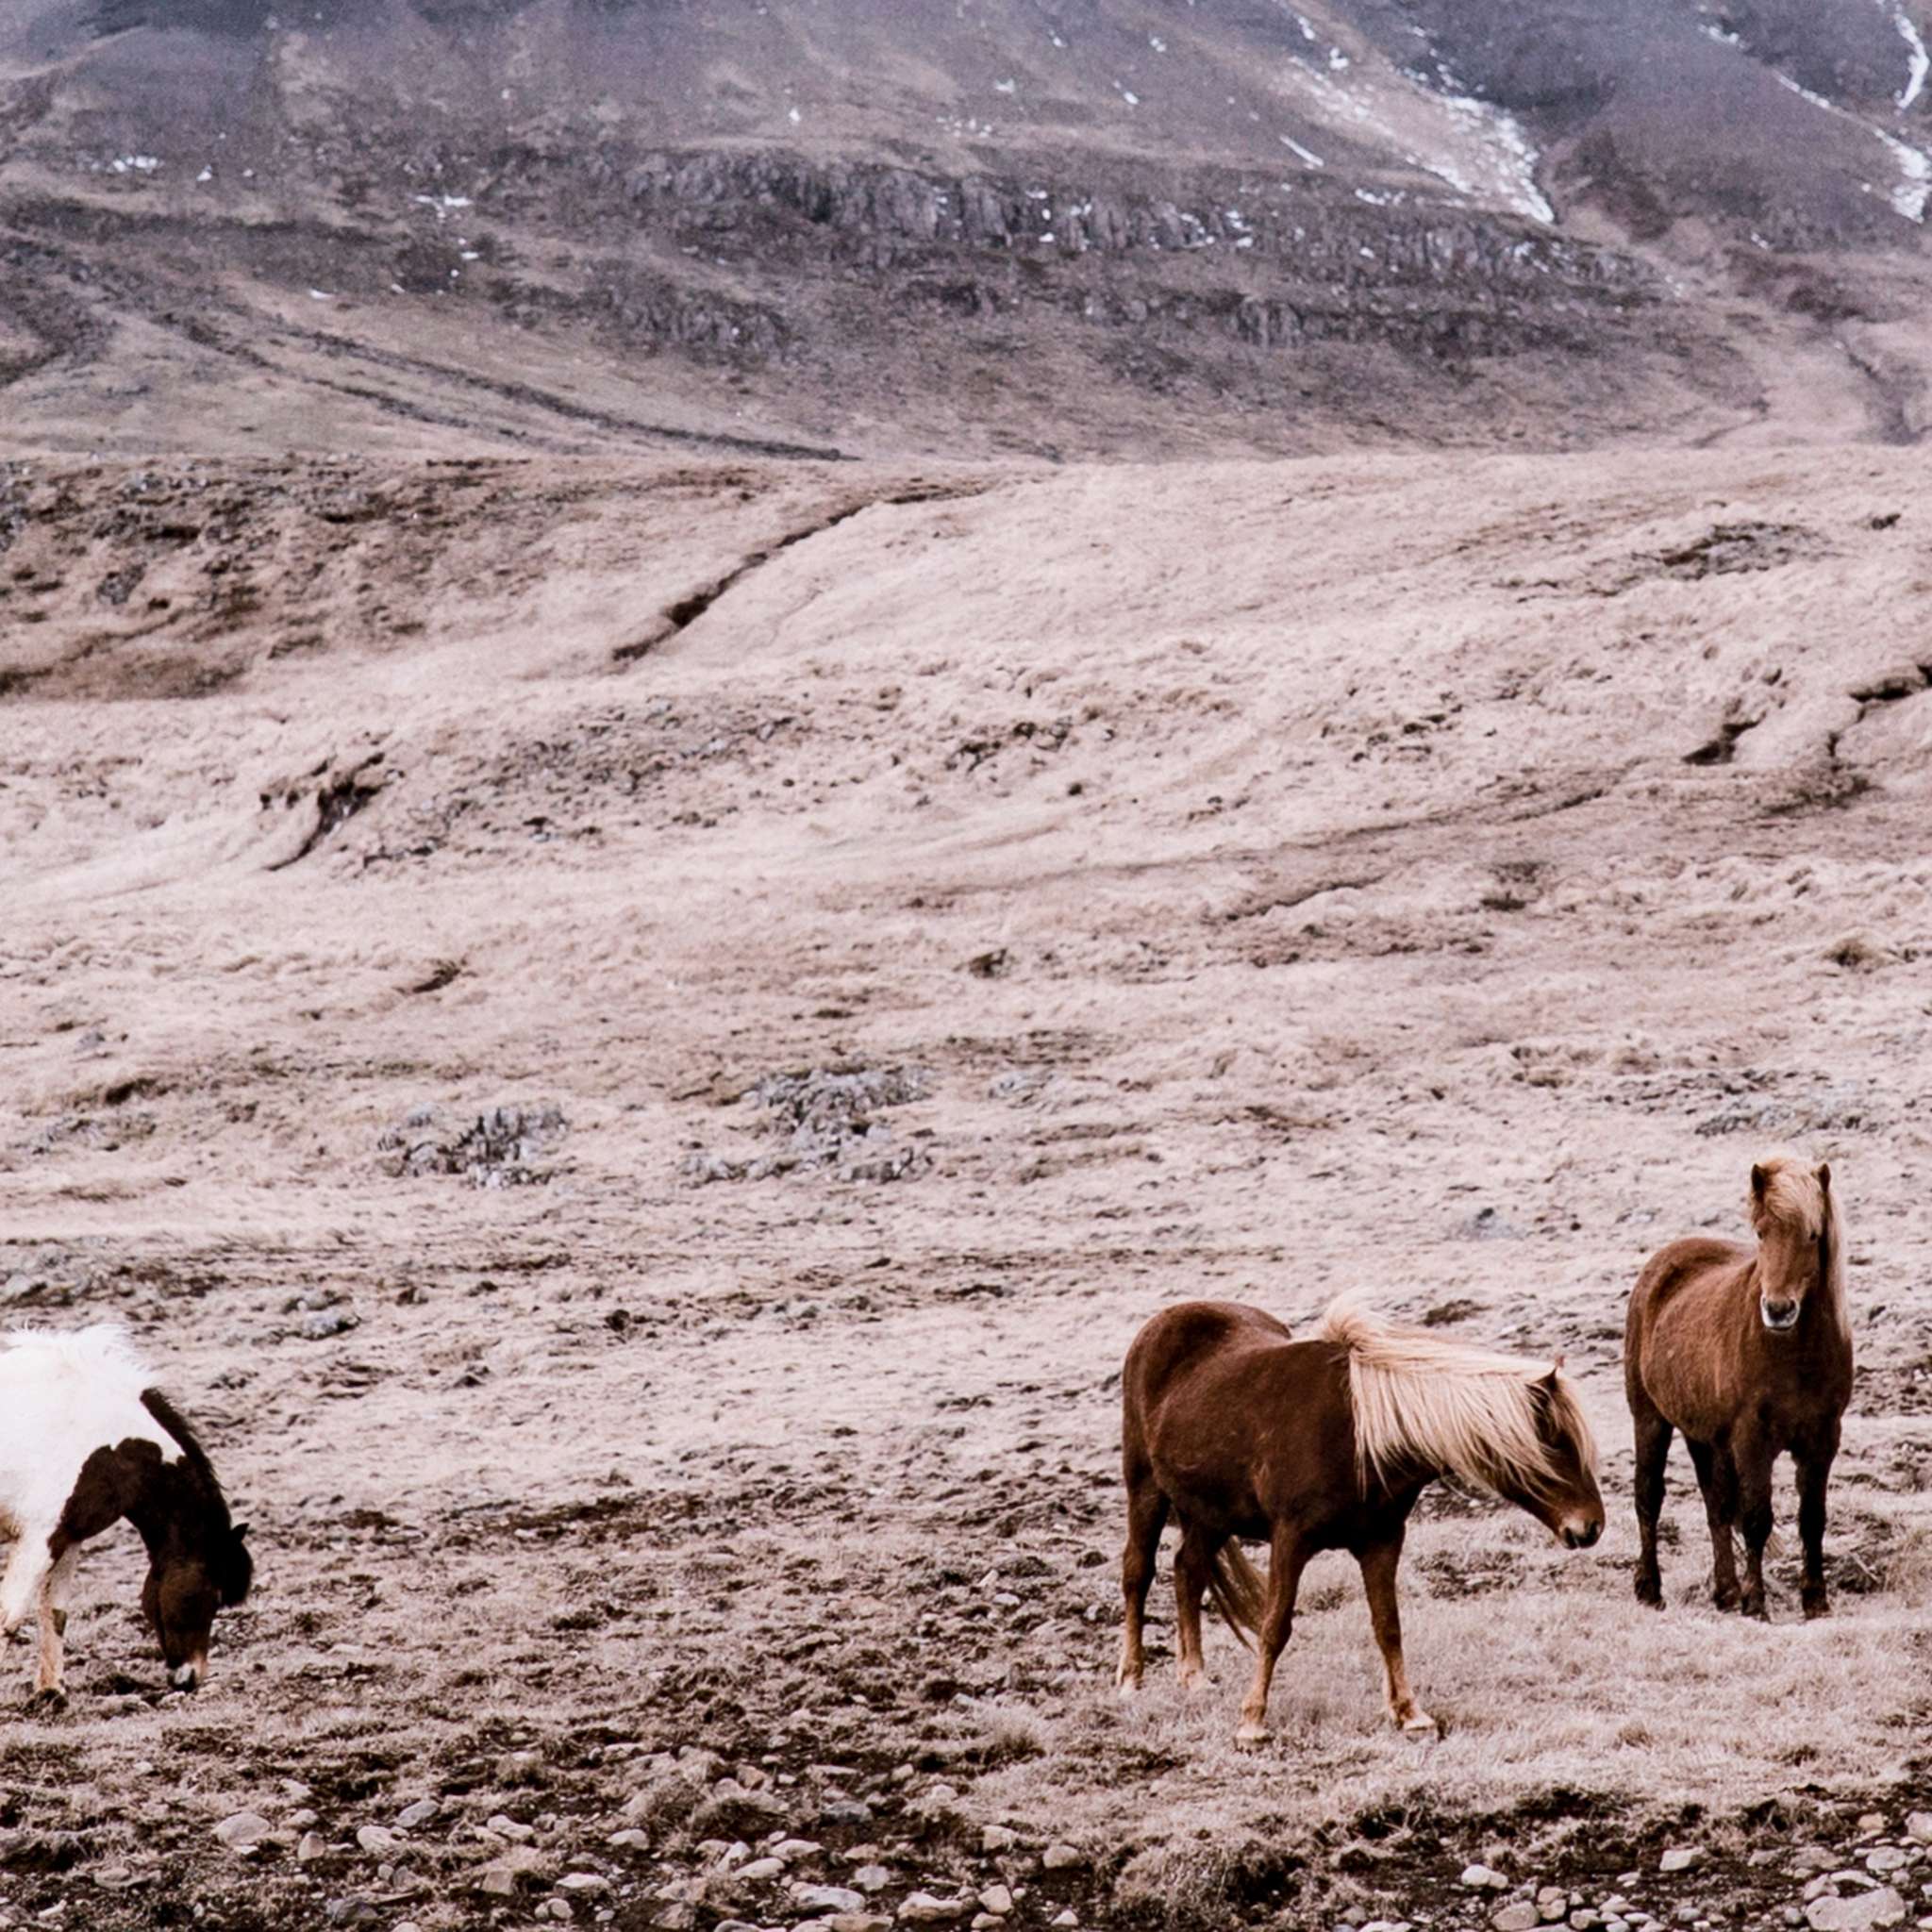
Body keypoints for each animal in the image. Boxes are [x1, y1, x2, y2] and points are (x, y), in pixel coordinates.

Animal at [0, 1326, 252, 1702]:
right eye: (214, 1594)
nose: (191, 1678)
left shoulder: (67, 1537)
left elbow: (55, 1612)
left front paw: (52, 1692)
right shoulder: (39, 1538)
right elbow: (9, 1615)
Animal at [1116, 1297, 1602, 1742]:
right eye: (1556, 1443)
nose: (1591, 1526)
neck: (1360, 1437)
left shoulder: (1382, 1541)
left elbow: (1388, 1626)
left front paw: (1410, 1713)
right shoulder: (1290, 1540)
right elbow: (1275, 1626)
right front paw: (1253, 1721)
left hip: (1211, 1514)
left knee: (1188, 1571)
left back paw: (1194, 1677)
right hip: (1147, 1490)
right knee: (1139, 1573)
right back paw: (1131, 1678)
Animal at [1625, 1154, 1852, 1621]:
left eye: (1812, 1234)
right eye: (1761, 1232)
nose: (1778, 1310)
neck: (1795, 1354)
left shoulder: (1823, 1438)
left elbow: (1812, 1519)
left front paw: (1815, 1601)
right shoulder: (1752, 1439)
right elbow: (1756, 1519)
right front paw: (1757, 1603)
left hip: (1705, 1437)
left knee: (1715, 1504)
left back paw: (1726, 1592)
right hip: (1650, 1419)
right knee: (1649, 1497)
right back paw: (1650, 1589)